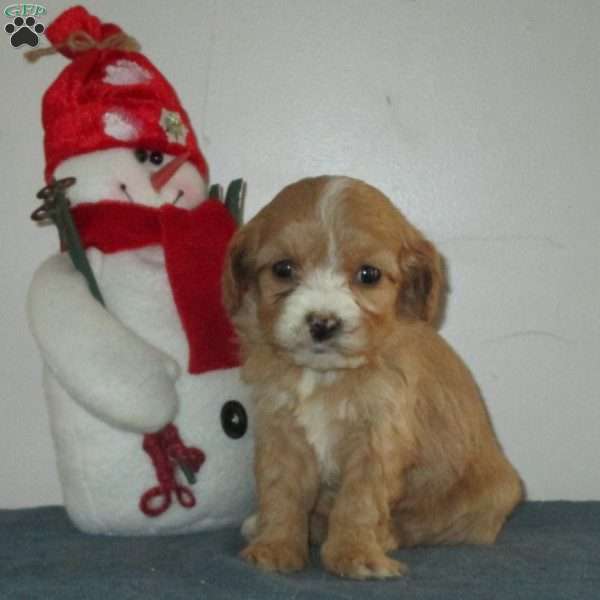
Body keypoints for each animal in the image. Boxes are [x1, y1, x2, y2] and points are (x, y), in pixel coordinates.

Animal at [223, 176, 524, 580]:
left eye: (369, 275)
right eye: (283, 269)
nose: (322, 323)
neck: (326, 375)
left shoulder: (378, 437)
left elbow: (360, 501)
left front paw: (355, 554)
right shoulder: (281, 429)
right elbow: (279, 490)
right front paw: (275, 547)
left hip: (490, 495)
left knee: (423, 525)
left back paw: (383, 538)